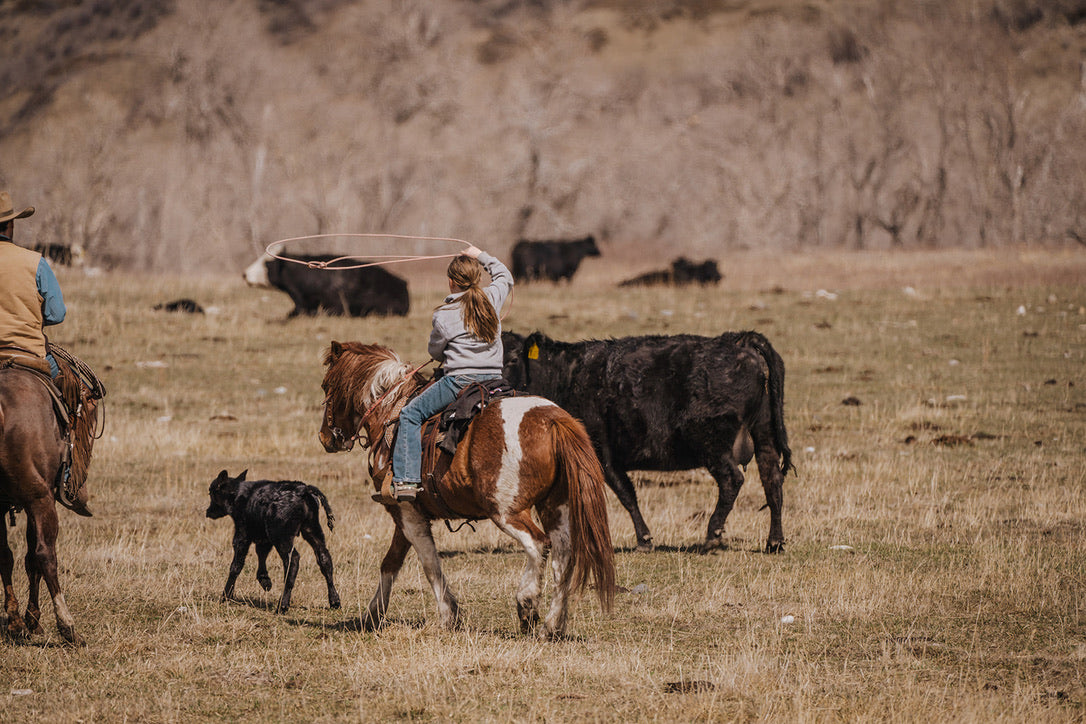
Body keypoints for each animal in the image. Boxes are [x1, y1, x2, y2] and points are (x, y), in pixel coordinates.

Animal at [0, 364, 96, 646]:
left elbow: (6, 556)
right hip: (40, 500)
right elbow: (33, 557)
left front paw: (18, 622)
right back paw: (67, 626)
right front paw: (33, 620)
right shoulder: (40, 499)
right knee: (45, 554)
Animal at [204, 466, 338, 616]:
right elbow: (261, 554)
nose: (208, 511)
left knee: (292, 560)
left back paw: (282, 606)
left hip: (282, 537)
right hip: (312, 530)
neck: (238, 495)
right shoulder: (264, 538)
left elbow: (236, 565)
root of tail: (303, 490)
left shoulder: (242, 534)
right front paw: (265, 581)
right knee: (324, 559)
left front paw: (225, 596)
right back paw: (334, 601)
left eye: (211, 492)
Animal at [317, 343, 616, 638]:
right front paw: (372, 615)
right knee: (563, 556)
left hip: (506, 511)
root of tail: (552, 421)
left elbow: (429, 563)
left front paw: (448, 615)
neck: (392, 413)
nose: (324, 437)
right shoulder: (406, 514)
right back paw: (552, 626)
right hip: (555, 505)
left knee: (538, 545)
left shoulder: (407, 513)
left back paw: (527, 604)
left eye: (326, 385)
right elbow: (391, 562)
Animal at [503, 332, 794, 551]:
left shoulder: (602, 454)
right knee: (772, 481)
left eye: (513, 358)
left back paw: (712, 535)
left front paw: (644, 539)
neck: (567, 377)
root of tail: (739, 341)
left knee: (732, 481)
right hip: (765, 435)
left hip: (714, 445)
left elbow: (625, 494)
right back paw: (775, 541)